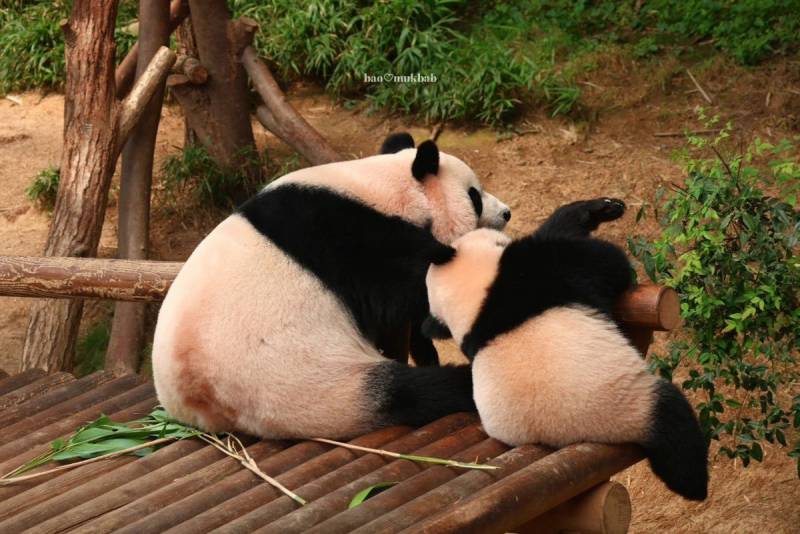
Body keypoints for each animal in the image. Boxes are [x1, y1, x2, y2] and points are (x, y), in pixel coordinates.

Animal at [153, 133, 510, 440]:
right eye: (475, 196)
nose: (506, 213)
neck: (384, 188)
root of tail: (209, 406)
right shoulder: (358, 241)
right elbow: (405, 290)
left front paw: (424, 347)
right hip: (306, 379)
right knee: (406, 394)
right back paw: (455, 382)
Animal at [422, 200, 708, 502]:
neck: (476, 301)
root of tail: (574, 437)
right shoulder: (535, 272)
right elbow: (606, 261)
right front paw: (597, 212)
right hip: (631, 402)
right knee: (674, 427)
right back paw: (695, 487)